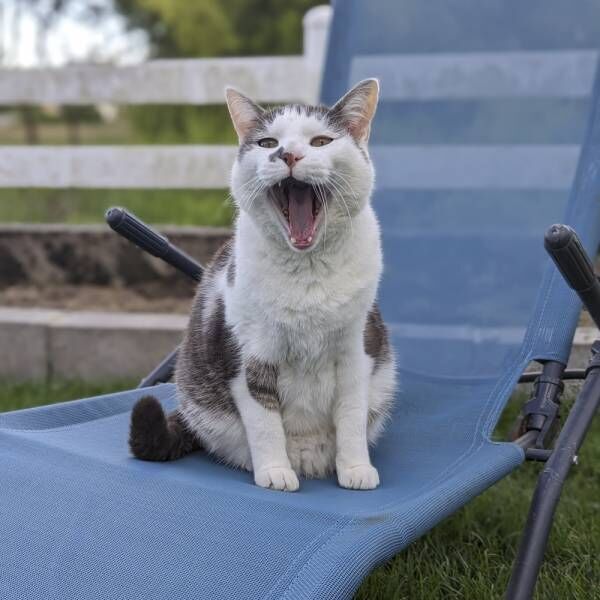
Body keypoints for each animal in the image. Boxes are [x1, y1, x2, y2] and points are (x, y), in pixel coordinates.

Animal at [129, 78, 396, 492]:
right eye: (268, 143)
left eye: (321, 141)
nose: (289, 155)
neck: (307, 272)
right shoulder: (249, 357)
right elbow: (264, 423)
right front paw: (275, 472)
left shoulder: (356, 352)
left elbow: (352, 415)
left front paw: (355, 468)